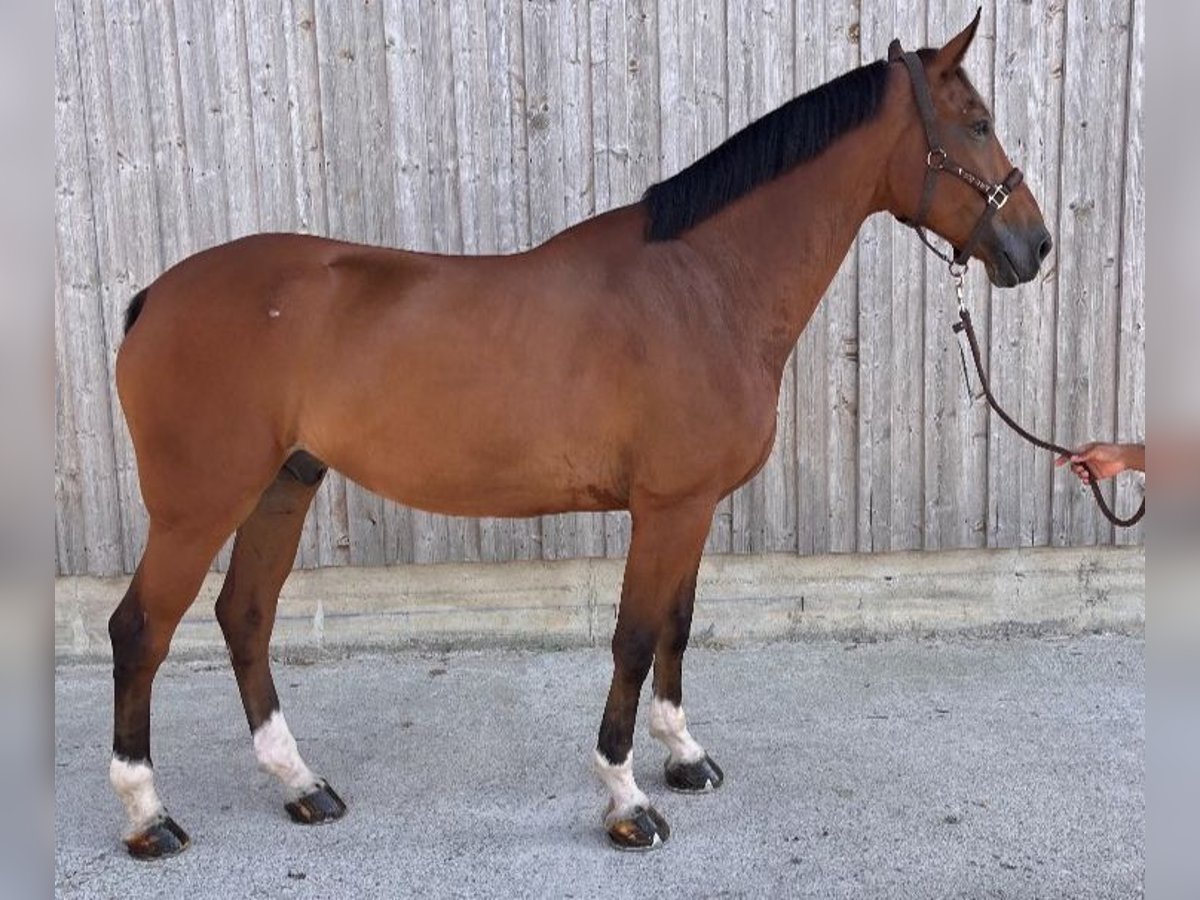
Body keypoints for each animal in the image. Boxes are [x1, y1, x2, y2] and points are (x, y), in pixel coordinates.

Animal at [110, 14, 1051, 859]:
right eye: (977, 123)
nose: (1035, 245)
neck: (705, 286)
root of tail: (155, 297)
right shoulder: (666, 508)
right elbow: (634, 637)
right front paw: (627, 800)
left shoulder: (693, 508)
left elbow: (677, 623)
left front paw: (684, 758)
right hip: (199, 506)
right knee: (142, 631)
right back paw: (148, 817)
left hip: (284, 484)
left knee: (245, 614)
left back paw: (301, 785)